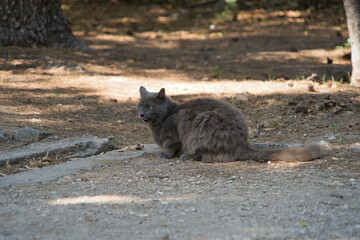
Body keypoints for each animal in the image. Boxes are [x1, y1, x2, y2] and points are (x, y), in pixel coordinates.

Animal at [138, 86, 324, 163]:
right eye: (140, 106)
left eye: (150, 107)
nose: (141, 114)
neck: (164, 117)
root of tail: (241, 143)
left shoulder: (173, 134)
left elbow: (171, 147)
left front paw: (165, 154)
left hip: (203, 122)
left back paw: (187, 156)